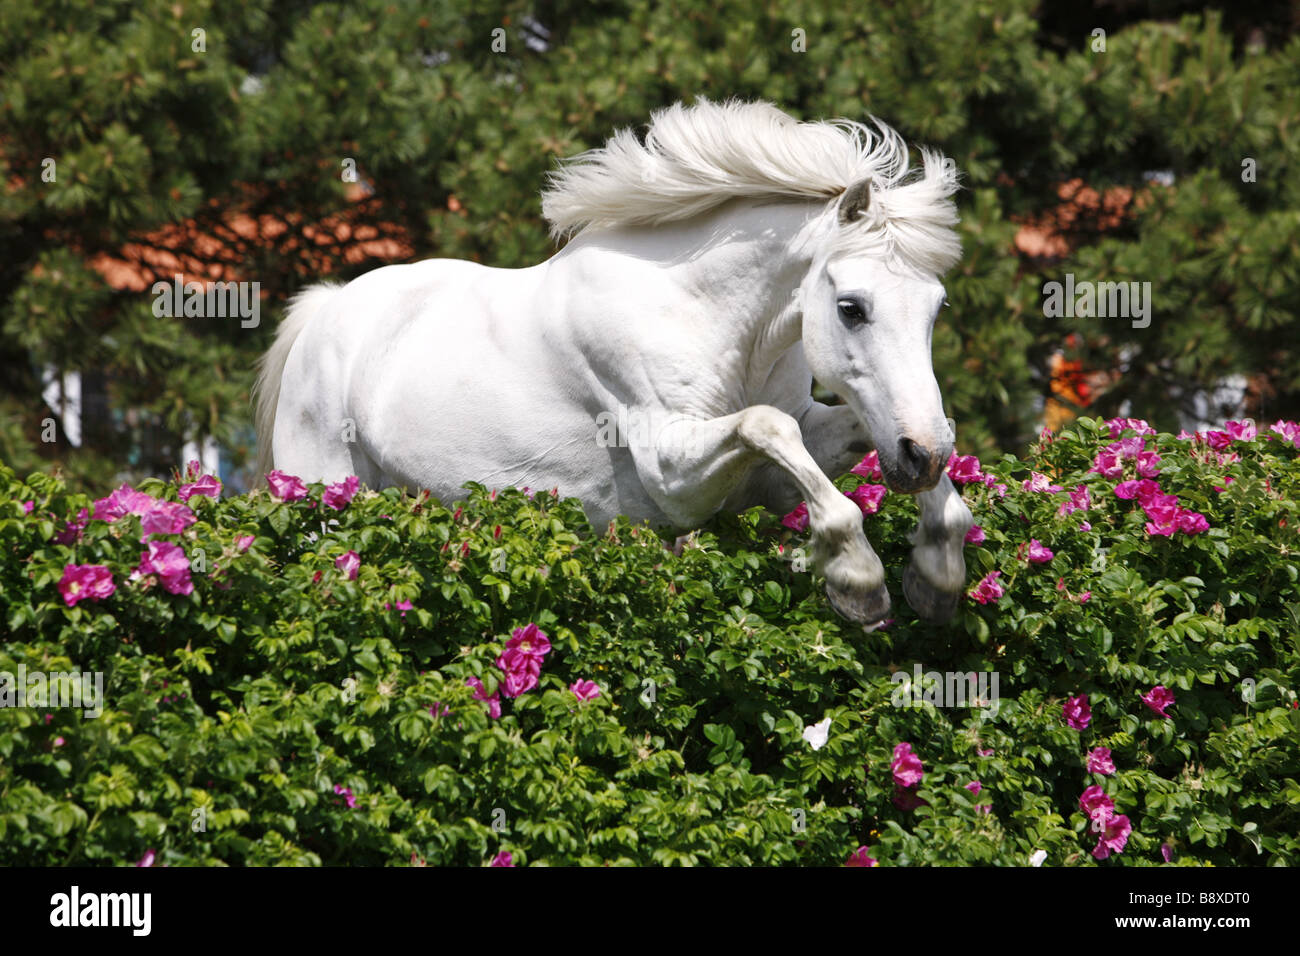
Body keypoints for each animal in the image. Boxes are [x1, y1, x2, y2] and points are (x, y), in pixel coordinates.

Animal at [253, 98, 972, 629]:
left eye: (937, 305)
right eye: (852, 307)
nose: (922, 453)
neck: (703, 311)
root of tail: (327, 308)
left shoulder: (771, 472)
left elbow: (837, 434)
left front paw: (936, 579)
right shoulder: (675, 475)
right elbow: (771, 427)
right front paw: (859, 581)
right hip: (329, 501)